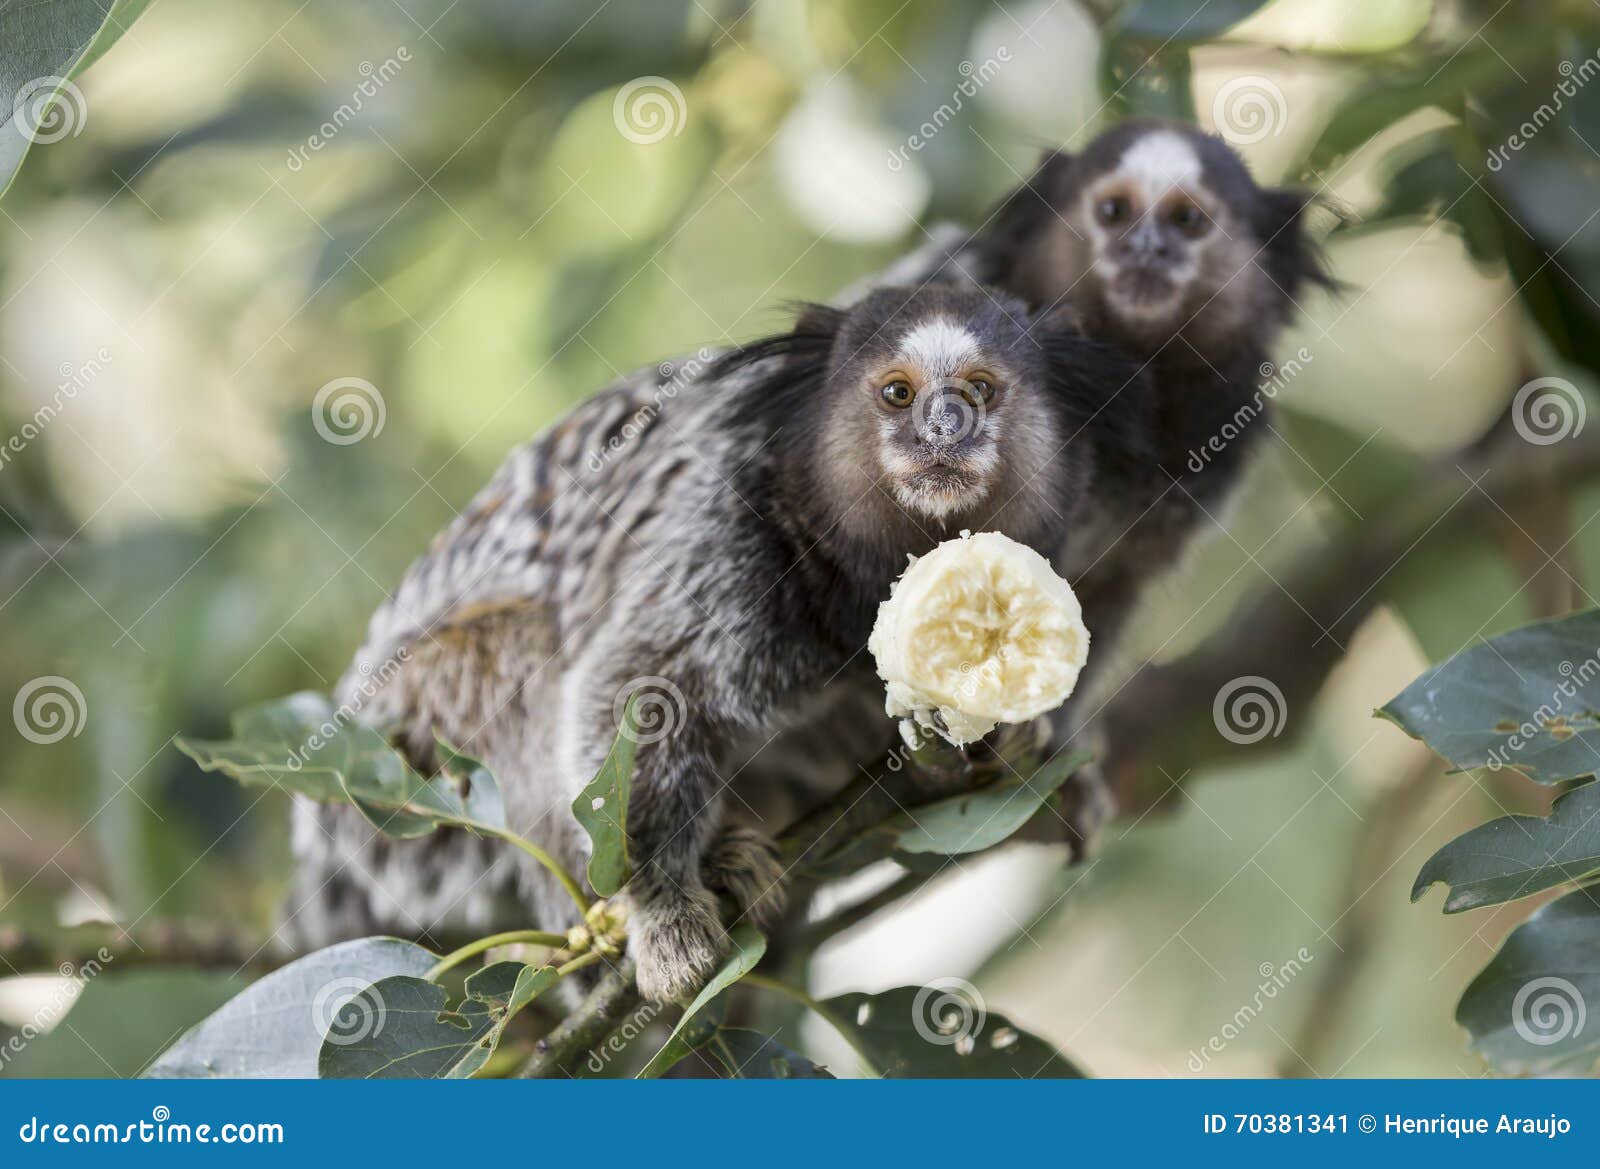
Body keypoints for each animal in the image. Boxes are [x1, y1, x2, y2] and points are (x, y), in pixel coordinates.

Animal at [294, 287, 1152, 1004]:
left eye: (980, 389)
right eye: (898, 392)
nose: (946, 428)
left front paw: (1011, 738)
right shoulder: (726, 539)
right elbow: (641, 693)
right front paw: (663, 912)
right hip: (418, 746)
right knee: (517, 651)